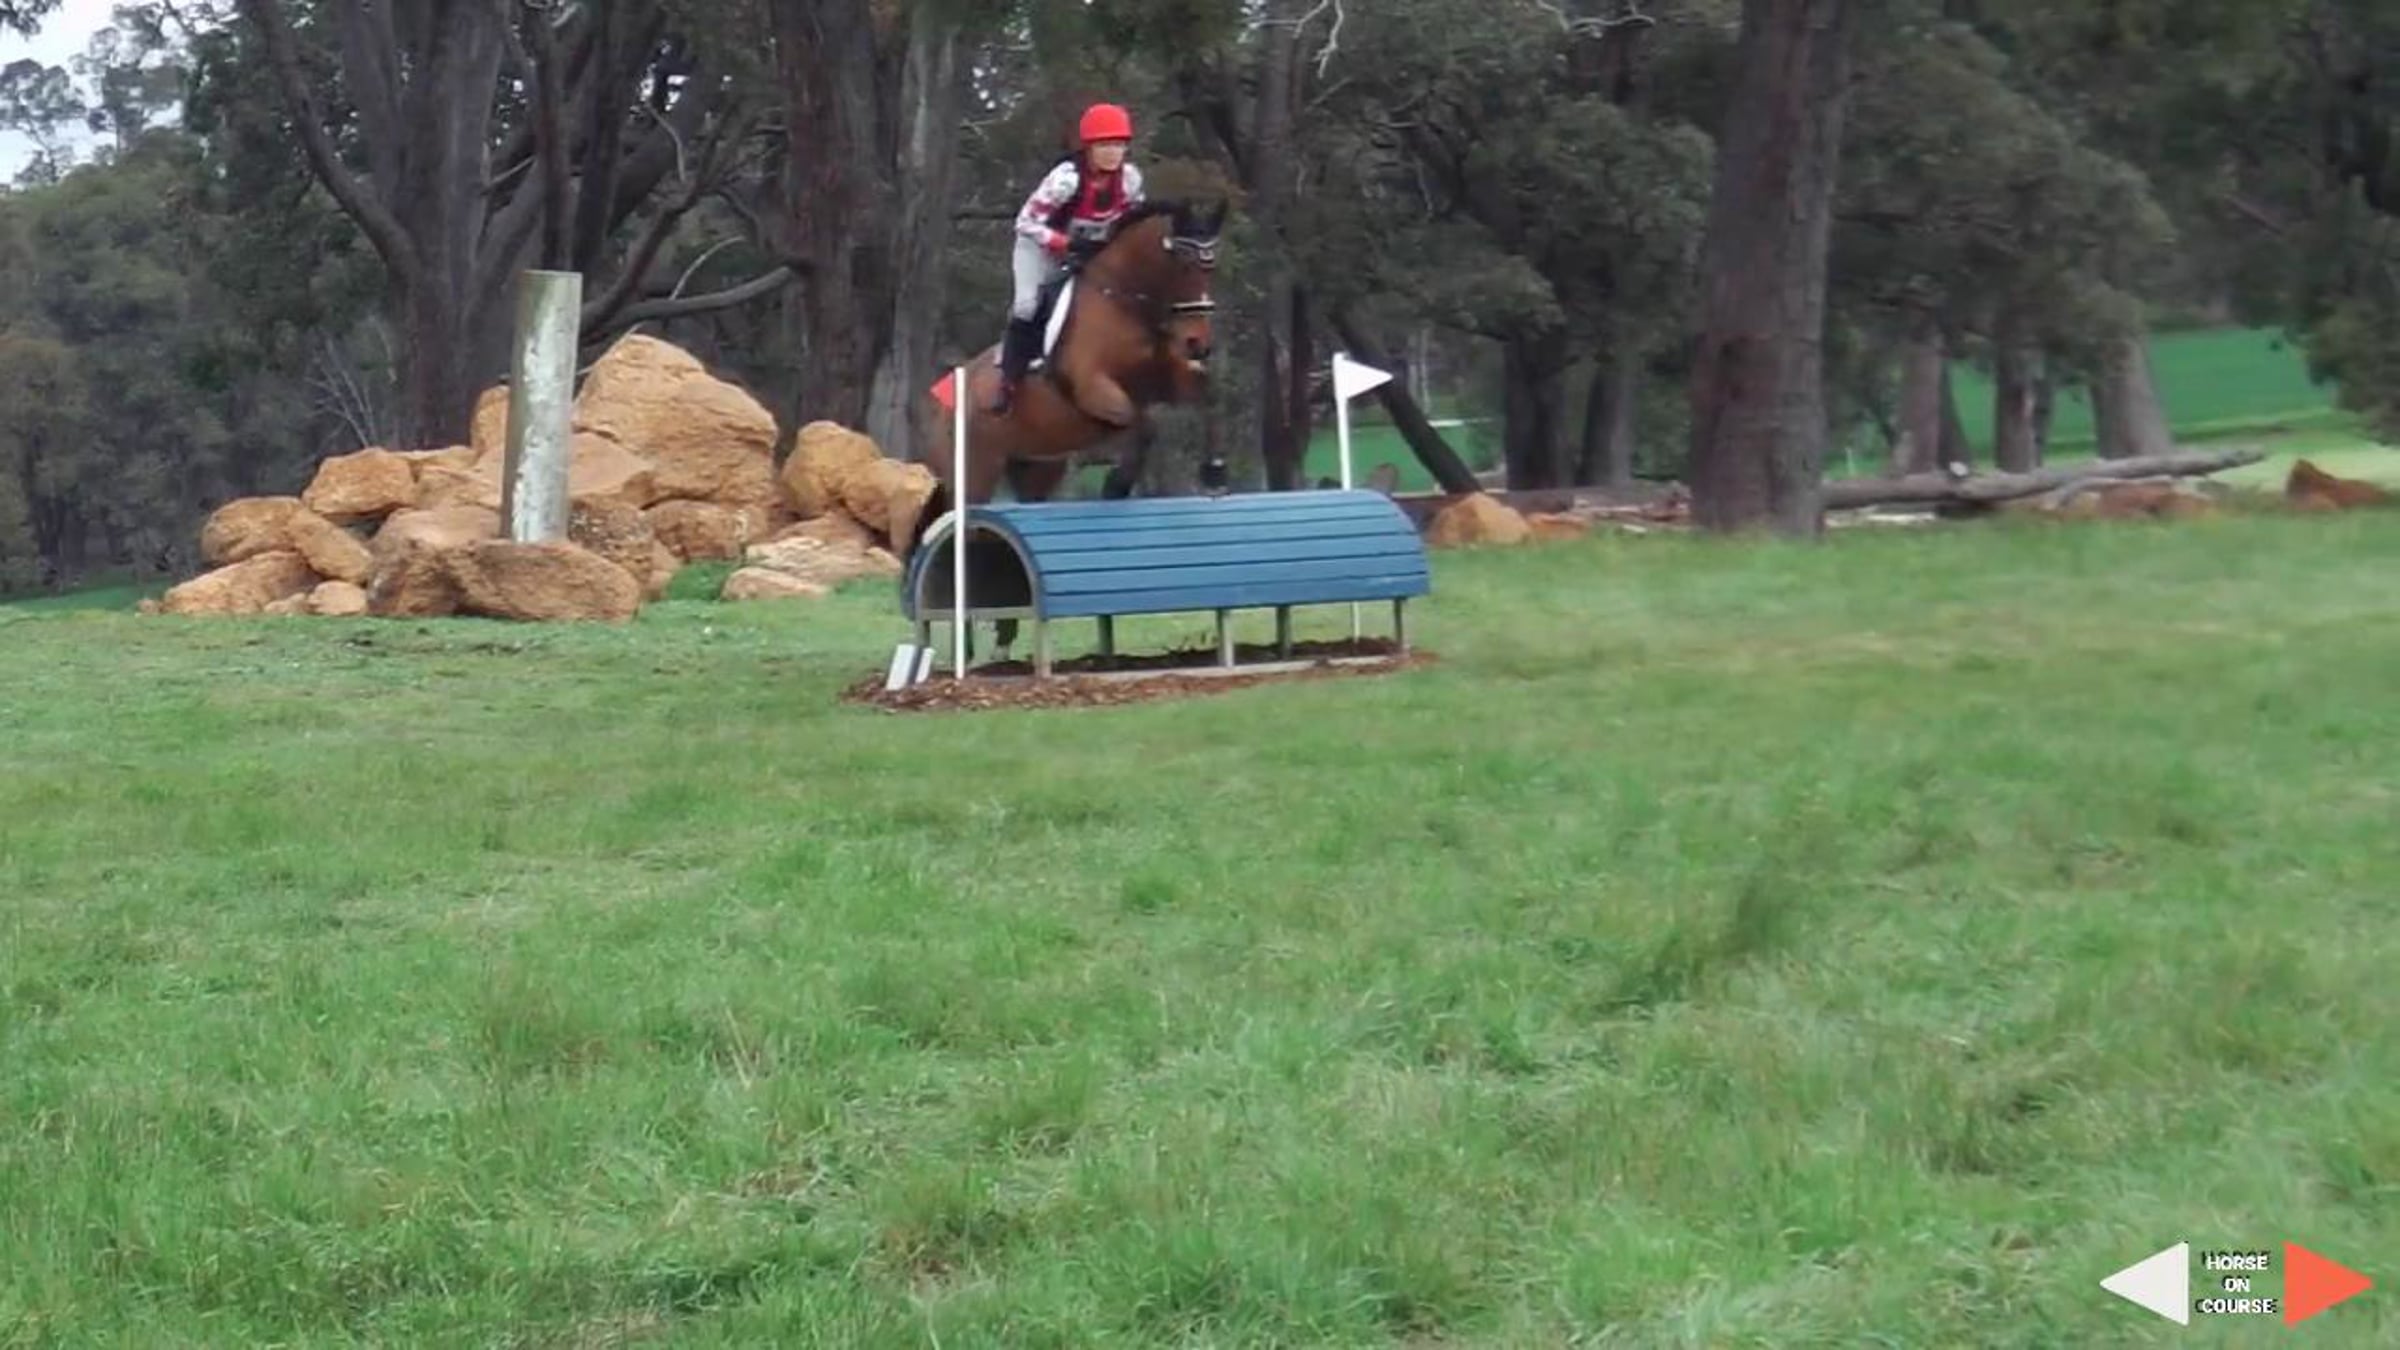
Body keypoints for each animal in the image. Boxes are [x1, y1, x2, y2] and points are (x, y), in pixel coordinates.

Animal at [902, 196, 1229, 661]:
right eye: (1181, 264)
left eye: (1211, 266)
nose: (1199, 343)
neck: (1126, 301)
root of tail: (938, 404)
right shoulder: (1095, 390)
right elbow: (1141, 422)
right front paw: (1116, 483)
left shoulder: (1172, 375)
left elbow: (1208, 396)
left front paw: (1215, 471)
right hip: (974, 472)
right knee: (962, 534)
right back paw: (965, 640)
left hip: (1037, 469)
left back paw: (1003, 634)